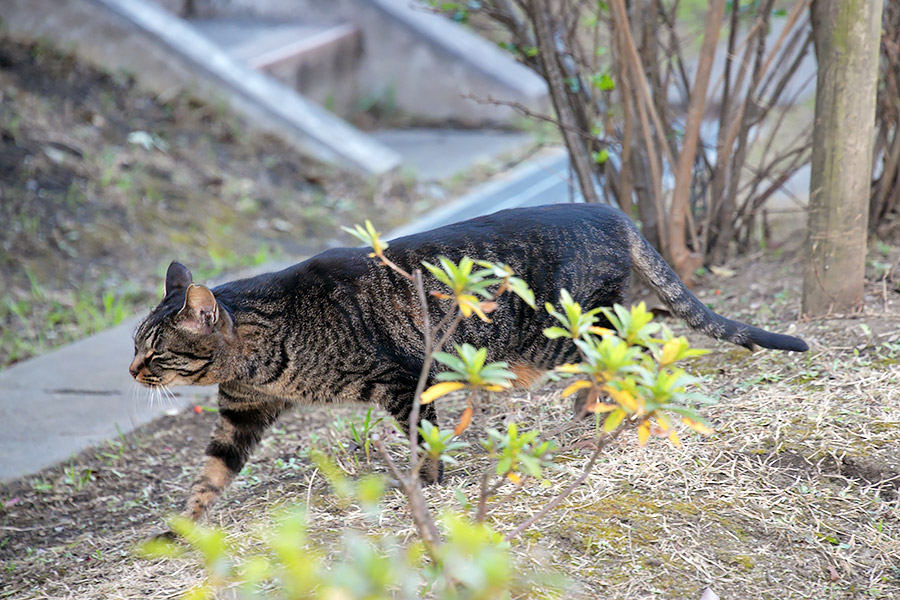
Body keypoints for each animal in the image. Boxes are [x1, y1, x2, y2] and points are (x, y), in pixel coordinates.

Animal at [128, 204, 808, 524]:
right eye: (133, 344)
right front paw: (179, 532)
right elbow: (207, 478)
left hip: (568, 330)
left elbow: (421, 443)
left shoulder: (402, 381)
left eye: (154, 349)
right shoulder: (242, 415)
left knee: (639, 352)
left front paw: (427, 489)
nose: (132, 373)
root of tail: (609, 209)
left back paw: (625, 411)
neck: (265, 349)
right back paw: (590, 414)